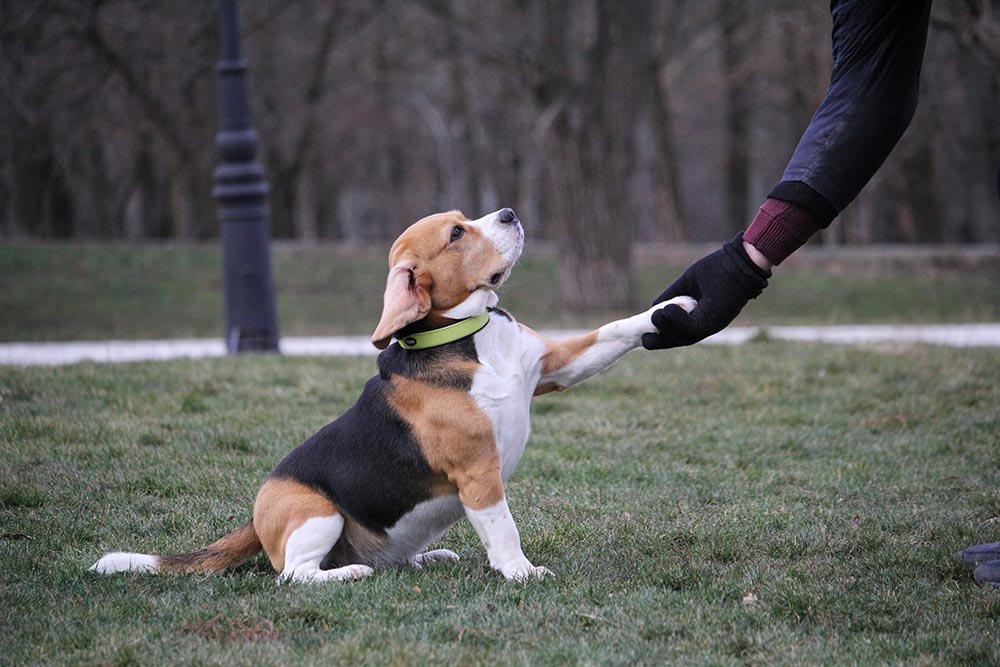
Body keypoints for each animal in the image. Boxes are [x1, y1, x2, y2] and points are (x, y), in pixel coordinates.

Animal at [94, 207, 696, 580]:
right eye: (456, 234)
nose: (508, 213)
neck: (468, 336)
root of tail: (256, 514)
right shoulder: (479, 472)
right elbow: (504, 528)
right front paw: (522, 572)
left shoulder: (551, 366)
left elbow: (612, 331)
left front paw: (674, 309)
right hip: (317, 514)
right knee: (293, 575)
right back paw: (349, 573)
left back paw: (426, 559)